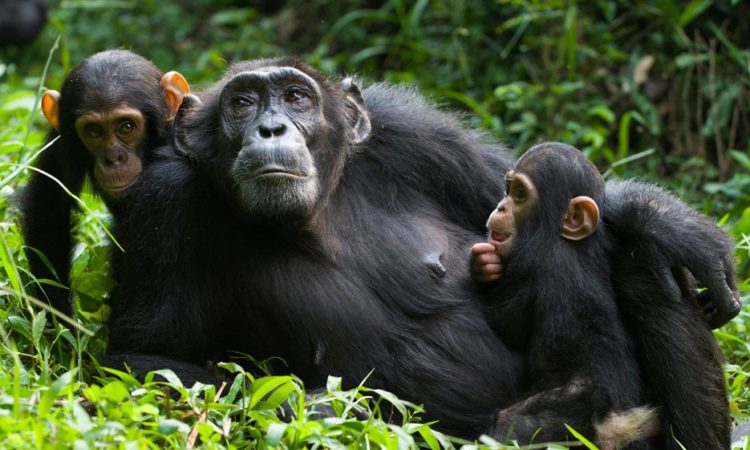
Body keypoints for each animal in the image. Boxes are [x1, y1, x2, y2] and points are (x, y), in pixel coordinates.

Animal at [18, 50, 191, 316]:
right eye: (93, 131)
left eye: (126, 127)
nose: (113, 158)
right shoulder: (61, 139)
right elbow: (49, 209)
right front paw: (57, 320)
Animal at [476, 142, 728, 446]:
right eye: (507, 189)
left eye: (520, 195)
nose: (501, 206)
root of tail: (620, 421)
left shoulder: (530, 267)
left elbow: (507, 323)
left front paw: (484, 267)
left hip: (576, 405)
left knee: (511, 424)